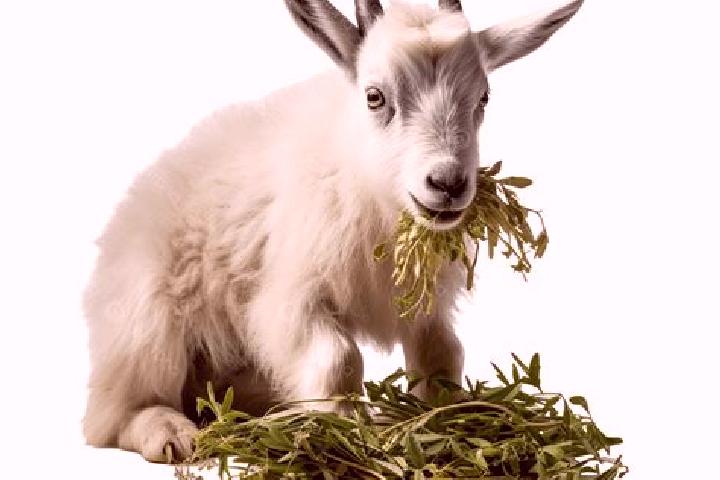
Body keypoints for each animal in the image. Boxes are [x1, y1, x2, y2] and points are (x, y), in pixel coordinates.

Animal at [82, 0, 584, 462]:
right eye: (375, 96)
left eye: (482, 98)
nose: (447, 184)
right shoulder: (290, 297)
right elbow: (340, 358)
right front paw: (339, 432)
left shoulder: (421, 306)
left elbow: (444, 353)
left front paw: (443, 419)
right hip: (148, 328)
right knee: (117, 414)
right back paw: (172, 435)